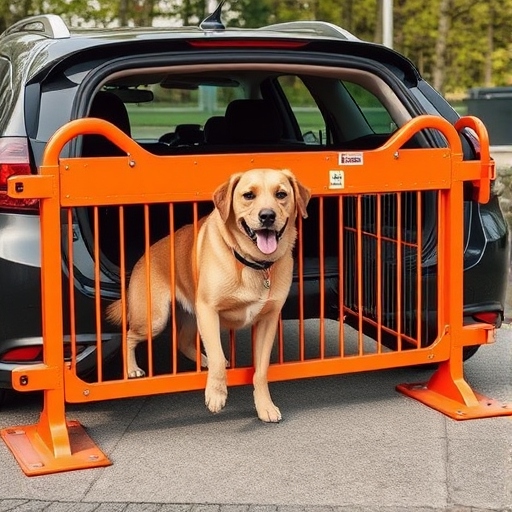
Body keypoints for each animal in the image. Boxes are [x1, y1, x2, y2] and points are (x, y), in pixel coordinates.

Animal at [106, 170, 310, 422]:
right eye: (248, 195)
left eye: (281, 194)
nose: (267, 216)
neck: (252, 263)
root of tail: (144, 256)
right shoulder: (209, 312)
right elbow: (217, 356)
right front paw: (216, 395)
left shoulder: (267, 322)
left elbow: (260, 371)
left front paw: (265, 406)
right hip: (155, 320)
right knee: (128, 336)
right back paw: (131, 369)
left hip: (192, 317)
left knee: (182, 342)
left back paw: (202, 360)